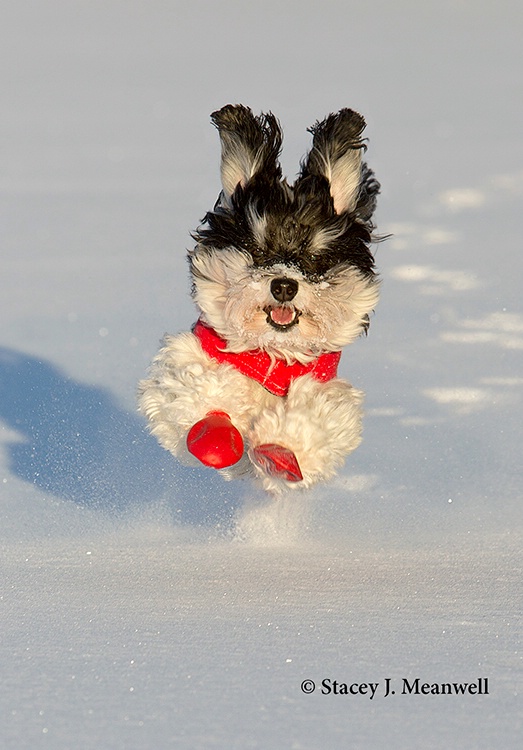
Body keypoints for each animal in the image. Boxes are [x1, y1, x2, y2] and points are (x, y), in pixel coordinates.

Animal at [140, 104, 380, 494]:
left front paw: (280, 453)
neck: (273, 352)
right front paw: (215, 435)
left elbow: (314, 419)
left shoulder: (328, 395)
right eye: (257, 250)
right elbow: (199, 391)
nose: (284, 285)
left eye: (315, 258)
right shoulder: (188, 361)